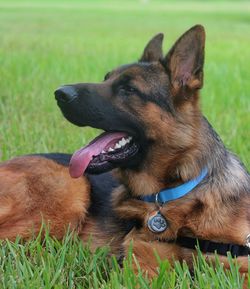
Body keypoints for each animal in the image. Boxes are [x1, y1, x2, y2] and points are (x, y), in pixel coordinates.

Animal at [0, 25, 250, 280]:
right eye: (105, 79)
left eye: (128, 89)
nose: (60, 93)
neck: (176, 192)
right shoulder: (142, 264)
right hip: (69, 196)